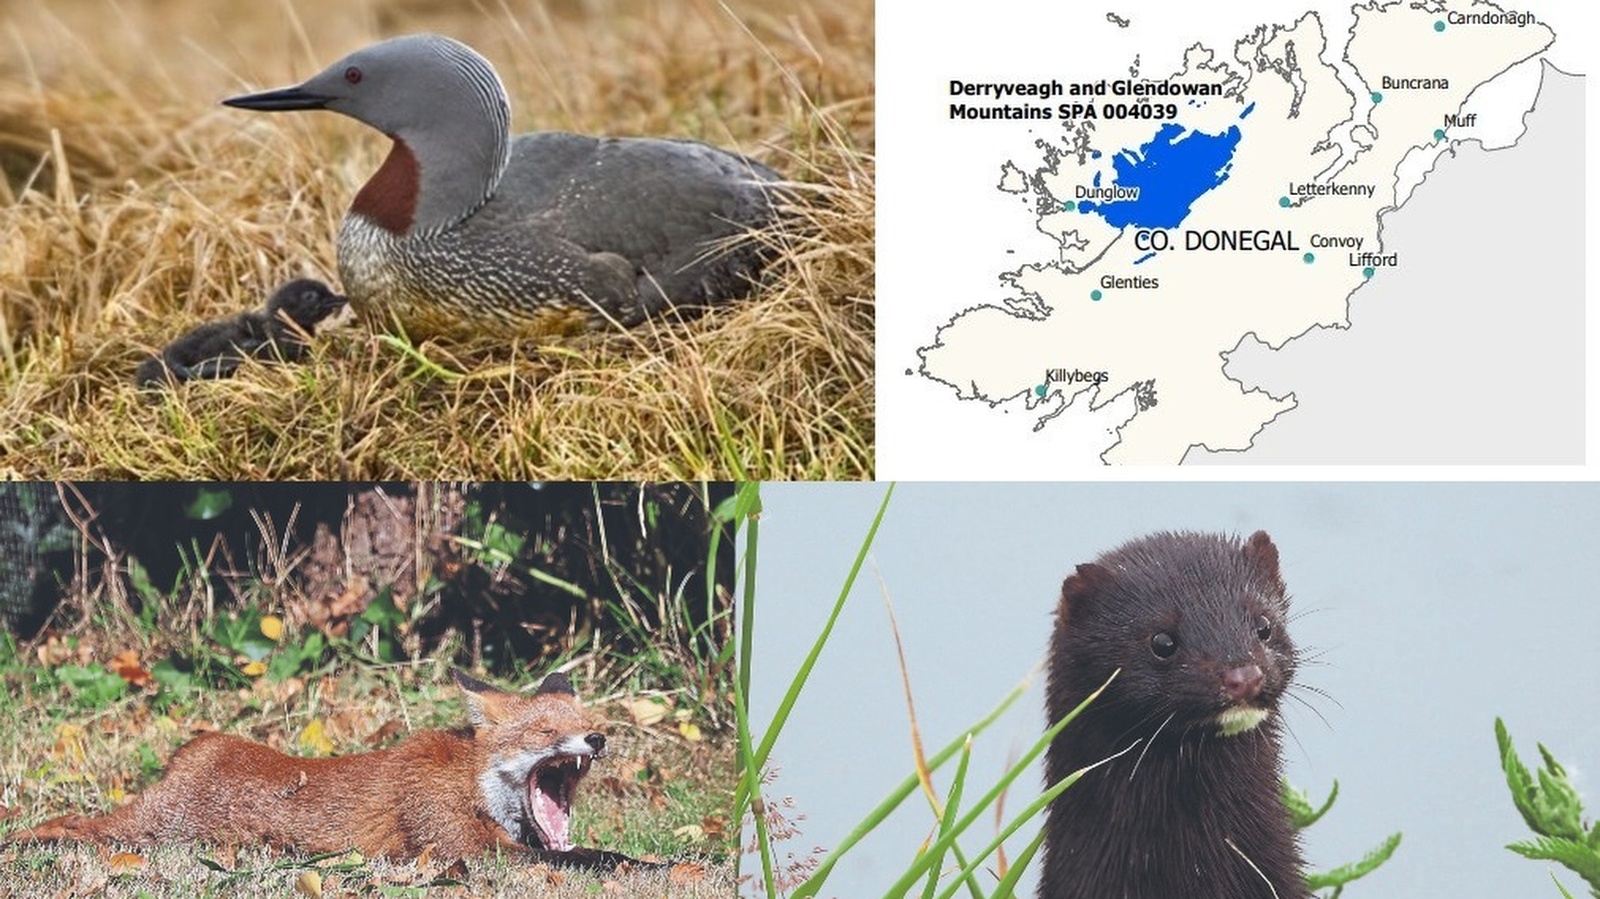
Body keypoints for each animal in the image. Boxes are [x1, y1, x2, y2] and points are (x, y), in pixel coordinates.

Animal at [7, 670, 654, 870]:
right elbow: (591, 858)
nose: (597, 738)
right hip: (153, 833)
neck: (469, 785)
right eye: (545, 733)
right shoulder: (462, 849)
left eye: (588, 720)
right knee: (76, 828)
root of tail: (200, 748)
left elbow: (593, 852)